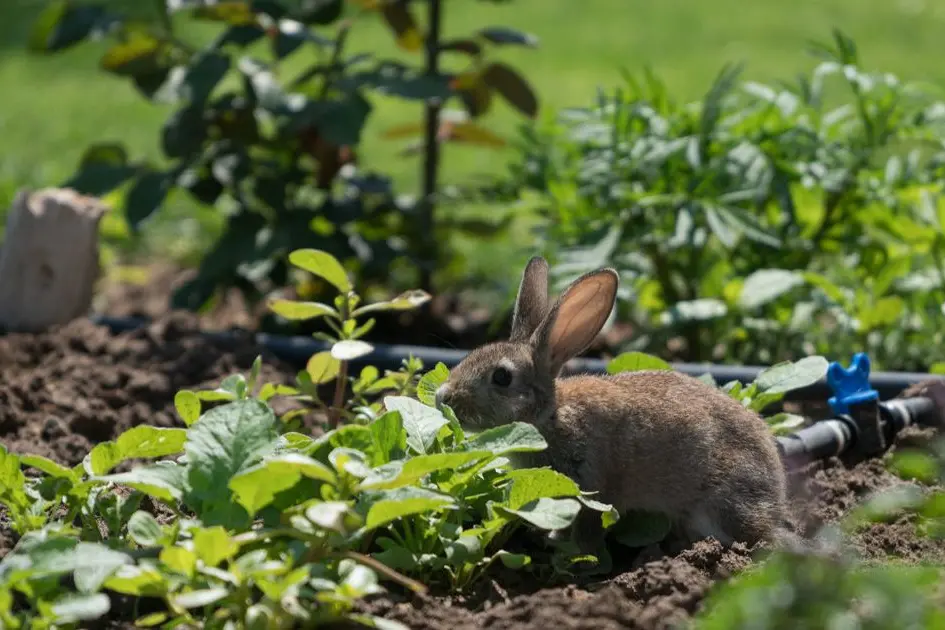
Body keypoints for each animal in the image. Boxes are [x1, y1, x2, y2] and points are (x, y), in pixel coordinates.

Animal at [434, 256, 790, 555]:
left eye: (502, 377)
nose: (443, 396)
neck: (550, 418)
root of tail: (776, 497)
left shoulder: (593, 488)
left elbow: (588, 527)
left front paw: (573, 552)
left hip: (717, 504)